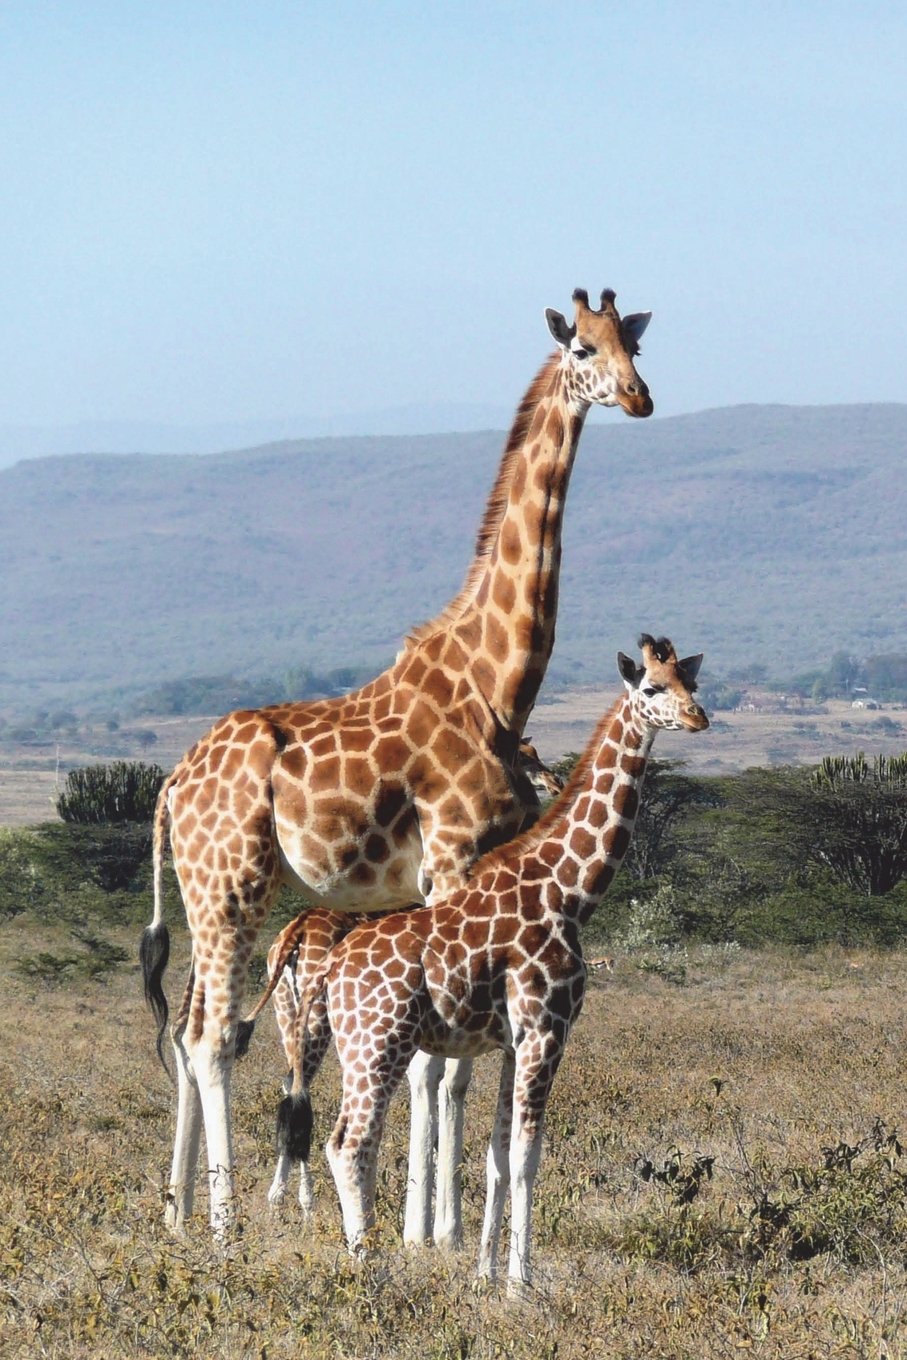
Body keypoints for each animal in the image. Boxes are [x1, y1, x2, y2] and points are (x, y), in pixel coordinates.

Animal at [260, 739, 564, 1215]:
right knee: (301, 1090)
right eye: (526, 755)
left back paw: (283, 1195)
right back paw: (302, 1198)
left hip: (287, 1013)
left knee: (290, 1085)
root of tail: (297, 933)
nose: (554, 782)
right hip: (319, 1020)